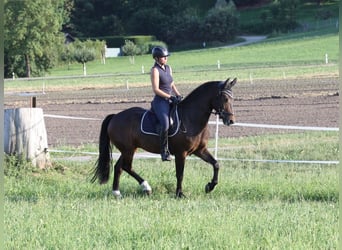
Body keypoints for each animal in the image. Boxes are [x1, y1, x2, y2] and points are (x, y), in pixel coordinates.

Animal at [91, 77, 238, 198]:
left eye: (232, 99)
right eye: (225, 99)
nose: (231, 121)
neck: (190, 117)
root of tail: (115, 117)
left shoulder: (199, 150)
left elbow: (216, 164)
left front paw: (209, 186)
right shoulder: (181, 153)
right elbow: (180, 174)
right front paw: (179, 194)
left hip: (130, 149)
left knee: (119, 167)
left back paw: (117, 192)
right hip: (128, 149)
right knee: (127, 166)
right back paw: (146, 187)